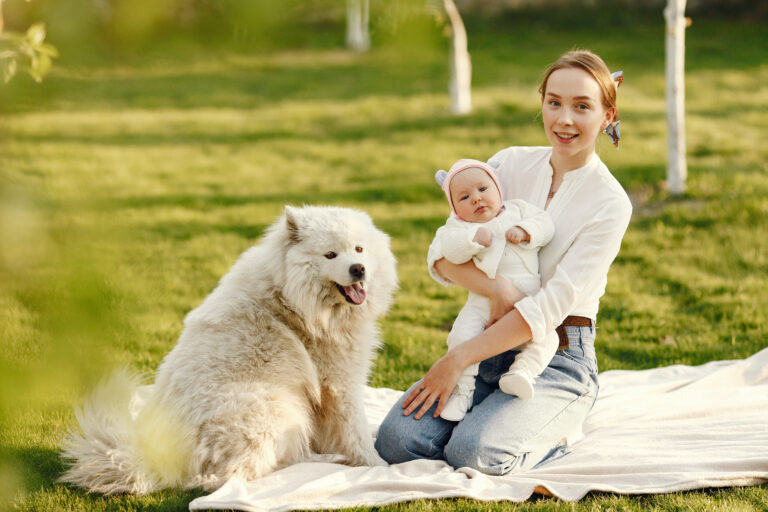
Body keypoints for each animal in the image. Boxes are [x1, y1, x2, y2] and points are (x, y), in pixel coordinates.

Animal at [59, 206, 396, 494]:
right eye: (330, 254)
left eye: (359, 249)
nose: (358, 269)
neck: (291, 297)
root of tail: (154, 456)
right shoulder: (339, 384)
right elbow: (356, 433)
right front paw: (378, 465)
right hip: (272, 407)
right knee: (235, 475)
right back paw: (324, 463)